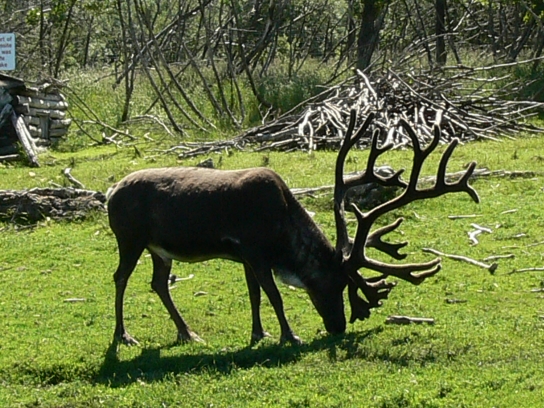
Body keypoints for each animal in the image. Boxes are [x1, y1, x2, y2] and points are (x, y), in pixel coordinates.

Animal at [106, 110, 480, 347]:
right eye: (335, 283)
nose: (337, 326)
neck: (283, 236)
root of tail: (111, 193)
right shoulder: (255, 250)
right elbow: (274, 295)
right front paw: (290, 335)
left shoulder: (246, 256)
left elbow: (255, 294)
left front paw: (260, 334)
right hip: (130, 238)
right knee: (120, 277)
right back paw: (123, 335)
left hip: (159, 249)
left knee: (158, 283)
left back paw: (187, 333)